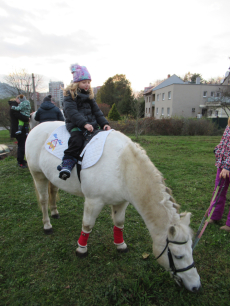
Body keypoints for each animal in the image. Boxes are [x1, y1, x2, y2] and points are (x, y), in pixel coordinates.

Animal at [25, 120, 201, 290]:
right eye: (178, 255)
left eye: (191, 250)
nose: (195, 286)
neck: (122, 166)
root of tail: (37, 127)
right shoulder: (93, 201)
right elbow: (87, 225)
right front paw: (81, 249)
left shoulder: (121, 202)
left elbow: (119, 223)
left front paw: (120, 245)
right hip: (37, 174)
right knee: (43, 200)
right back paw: (47, 224)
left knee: (53, 191)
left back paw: (55, 212)